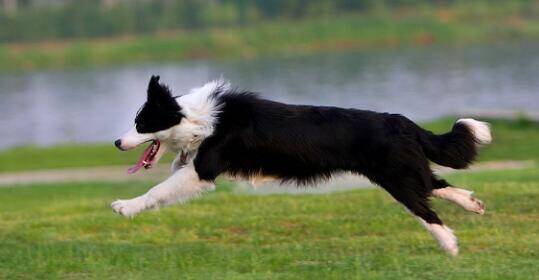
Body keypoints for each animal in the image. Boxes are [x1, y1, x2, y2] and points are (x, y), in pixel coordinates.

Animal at [114, 75, 494, 255]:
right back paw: (472, 204)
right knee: (436, 185)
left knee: (427, 208)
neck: (195, 117)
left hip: (396, 178)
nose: (117, 142)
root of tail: (402, 121)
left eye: (141, 124)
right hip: (404, 171)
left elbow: (157, 190)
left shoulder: (203, 169)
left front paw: (125, 206)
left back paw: (450, 245)